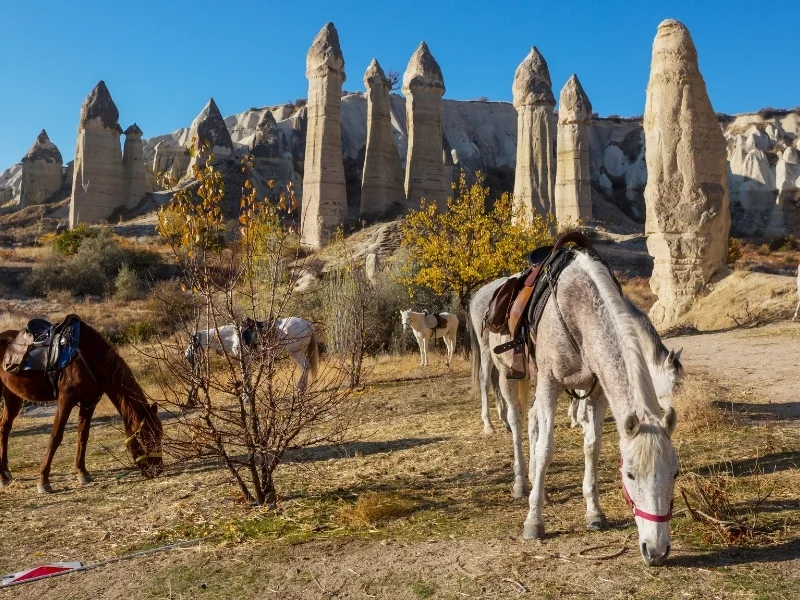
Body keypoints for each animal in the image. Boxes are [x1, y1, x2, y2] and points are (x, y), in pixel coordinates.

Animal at [0, 320, 163, 494]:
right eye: (146, 436)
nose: (157, 470)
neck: (89, 358)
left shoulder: (89, 402)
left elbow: (83, 435)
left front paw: (82, 472)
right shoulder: (66, 399)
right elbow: (56, 437)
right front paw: (44, 480)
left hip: (12, 396)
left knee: (4, 427)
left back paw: (6, 473)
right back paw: (3, 477)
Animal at [185, 317, 319, 392]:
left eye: (193, 343)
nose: (187, 357)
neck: (233, 337)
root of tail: (307, 323)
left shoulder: (245, 360)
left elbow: (246, 378)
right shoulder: (245, 362)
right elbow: (247, 378)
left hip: (296, 352)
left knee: (305, 367)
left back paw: (299, 389)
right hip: (300, 351)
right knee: (306, 367)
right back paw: (302, 389)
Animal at [488, 250, 678, 566]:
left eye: (675, 473)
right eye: (629, 474)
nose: (656, 550)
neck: (577, 310)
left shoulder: (597, 390)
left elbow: (592, 446)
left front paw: (594, 512)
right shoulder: (550, 383)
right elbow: (546, 448)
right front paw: (534, 520)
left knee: (533, 420)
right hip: (511, 376)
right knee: (517, 423)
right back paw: (521, 484)